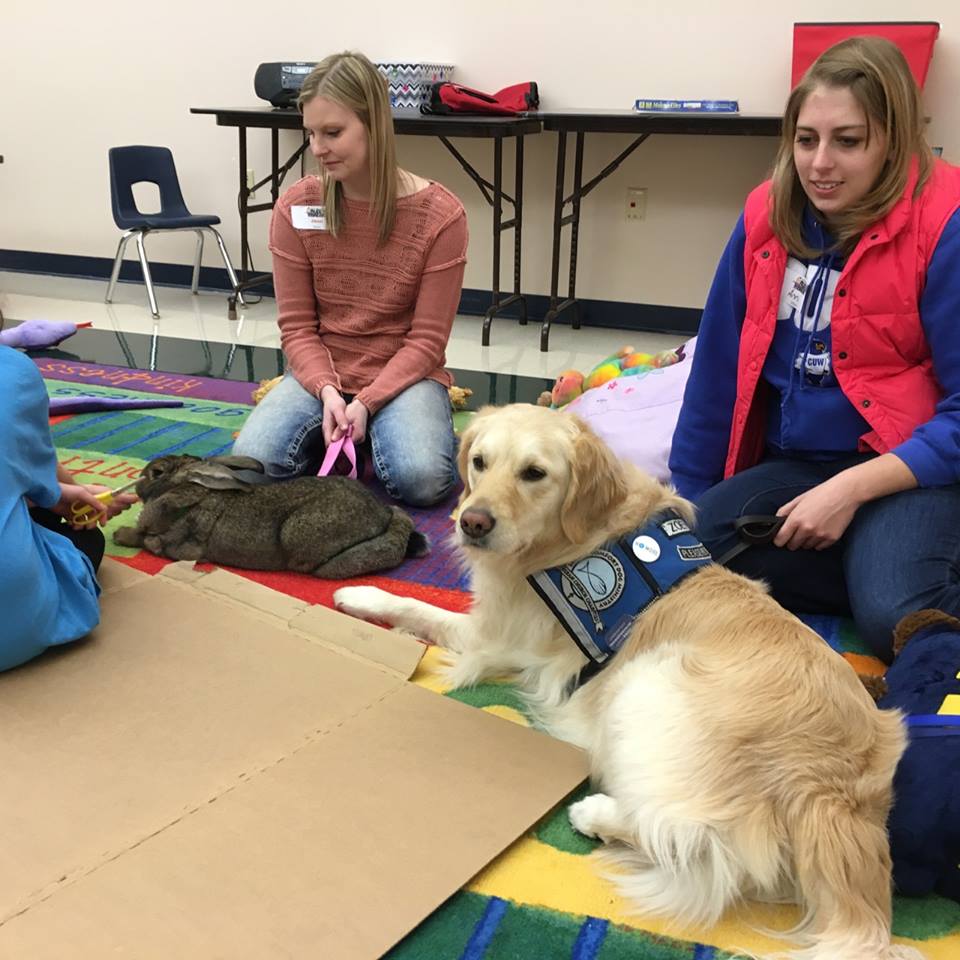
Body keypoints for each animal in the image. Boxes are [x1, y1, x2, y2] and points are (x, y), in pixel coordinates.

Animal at [112, 456, 428, 580]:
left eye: (157, 473)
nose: (137, 487)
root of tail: (379, 514)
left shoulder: (181, 546)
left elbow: (147, 541)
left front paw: (120, 535)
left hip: (301, 538)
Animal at [334, 404, 920, 960]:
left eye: (534, 473)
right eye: (479, 462)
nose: (471, 523)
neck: (574, 535)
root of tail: (835, 789)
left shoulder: (492, 637)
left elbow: (416, 606)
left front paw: (359, 597)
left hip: (648, 681)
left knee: (697, 841)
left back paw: (595, 813)